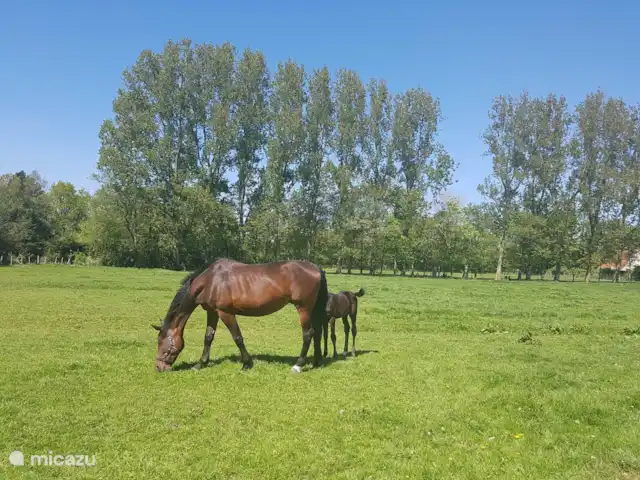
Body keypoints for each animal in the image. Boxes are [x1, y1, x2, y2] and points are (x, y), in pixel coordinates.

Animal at [151, 258, 328, 374]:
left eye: (160, 341)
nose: (159, 367)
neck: (211, 281)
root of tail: (315, 268)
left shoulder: (225, 313)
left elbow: (237, 337)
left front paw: (246, 364)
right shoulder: (212, 312)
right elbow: (208, 338)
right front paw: (200, 364)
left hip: (303, 308)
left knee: (308, 334)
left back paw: (298, 365)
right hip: (312, 309)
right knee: (317, 332)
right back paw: (316, 362)